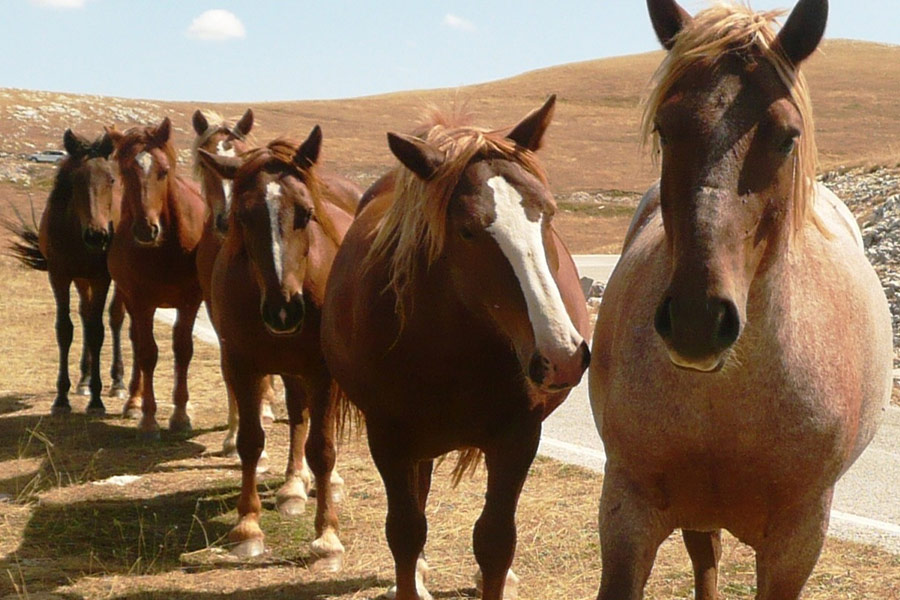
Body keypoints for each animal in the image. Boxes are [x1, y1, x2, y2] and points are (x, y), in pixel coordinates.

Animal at [4, 129, 127, 415]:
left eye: (111, 179)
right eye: (76, 180)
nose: (98, 236)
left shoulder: (101, 278)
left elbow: (97, 331)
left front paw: (96, 400)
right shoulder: (59, 276)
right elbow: (65, 329)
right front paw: (62, 397)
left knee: (115, 317)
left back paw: (117, 382)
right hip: (81, 280)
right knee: (84, 314)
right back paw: (83, 380)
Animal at [106, 117, 206, 438]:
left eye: (163, 171)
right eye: (126, 171)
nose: (146, 230)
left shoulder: (190, 301)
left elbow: (183, 350)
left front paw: (180, 415)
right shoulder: (140, 301)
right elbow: (147, 353)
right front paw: (149, 418)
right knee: (136, 342)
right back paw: (134, 401)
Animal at [197, 128, 361, 569]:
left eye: (305, 213)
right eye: (243, 216)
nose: (283, 309)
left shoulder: (324, 372)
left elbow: (322, 449)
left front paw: (327, 537)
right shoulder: (242, 365)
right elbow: (251, 441)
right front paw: (247, 527)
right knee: (298, 415)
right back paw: (292, 485)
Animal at [321, 96, 591, 600]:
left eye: (547, 213)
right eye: (467, 231)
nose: (562, 356)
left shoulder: (519, 437)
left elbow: (495, 540)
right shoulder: (388, 438)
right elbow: (406, 532)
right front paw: (410, 580)